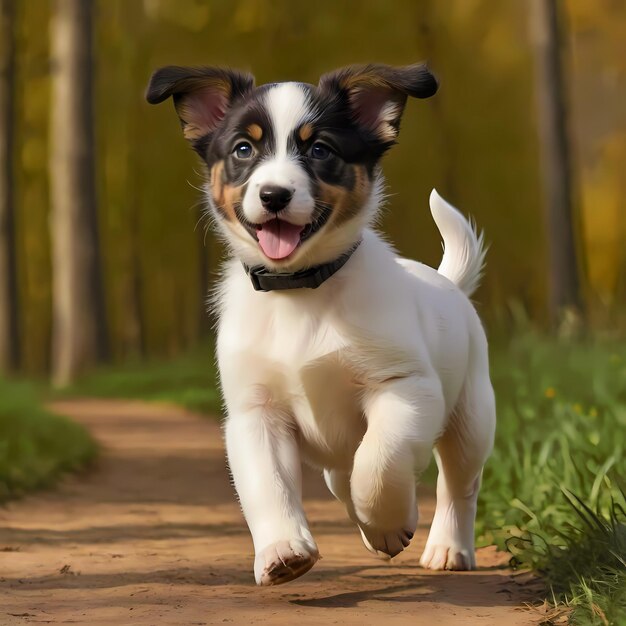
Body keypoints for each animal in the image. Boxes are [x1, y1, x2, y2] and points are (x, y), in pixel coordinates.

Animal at [145, 61, 492, 584]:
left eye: (320, 150)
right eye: (243, 149)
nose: (274, 194)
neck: (301, 291)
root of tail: (448, 281)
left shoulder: (406, 386)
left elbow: (380, 460)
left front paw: (389, 519)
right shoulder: (255, 413)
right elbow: (267, 485)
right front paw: (282, 549)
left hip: (471, 417)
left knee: (457, 484)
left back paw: (446, 547)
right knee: (341, 475)